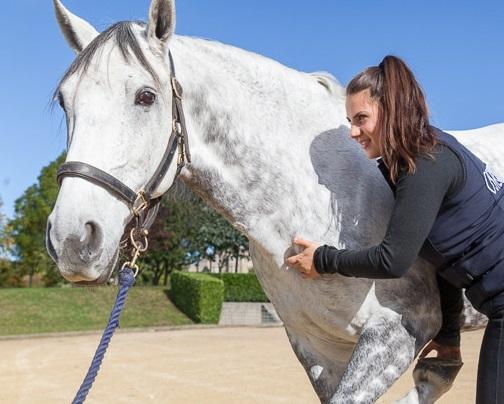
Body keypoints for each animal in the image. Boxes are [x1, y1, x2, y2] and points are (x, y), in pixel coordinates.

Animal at [46, 1, 500, 402]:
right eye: (66, 101)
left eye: (145, 96)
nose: (72, 239)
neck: (312, 198)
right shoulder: (317, 348)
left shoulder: (397, 332)